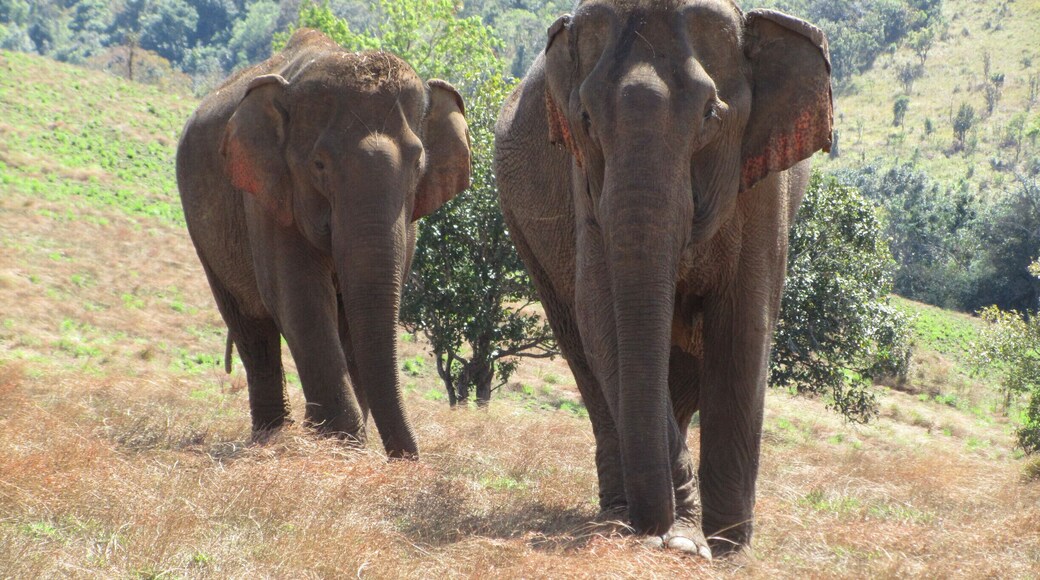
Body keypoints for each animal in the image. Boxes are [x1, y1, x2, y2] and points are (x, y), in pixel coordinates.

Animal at [176, 29, 471, 458]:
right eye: (319, 165)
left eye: (419, 164)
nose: (409, 462)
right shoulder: (267, 199)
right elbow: (299, 298)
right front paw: (336, 441)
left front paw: (341, 444)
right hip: (204, 233)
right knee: (251, 328)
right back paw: (271, 437)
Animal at [494, 1, 832, 557]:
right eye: (585, 119)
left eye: (711, 115)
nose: (658, 531)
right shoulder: (583, 181)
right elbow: (601, 315)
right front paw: (685, 541)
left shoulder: (765, 188)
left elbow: (745, 325)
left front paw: (728, 549)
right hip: (526, 237)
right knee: (581, 347)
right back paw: (617, 514)